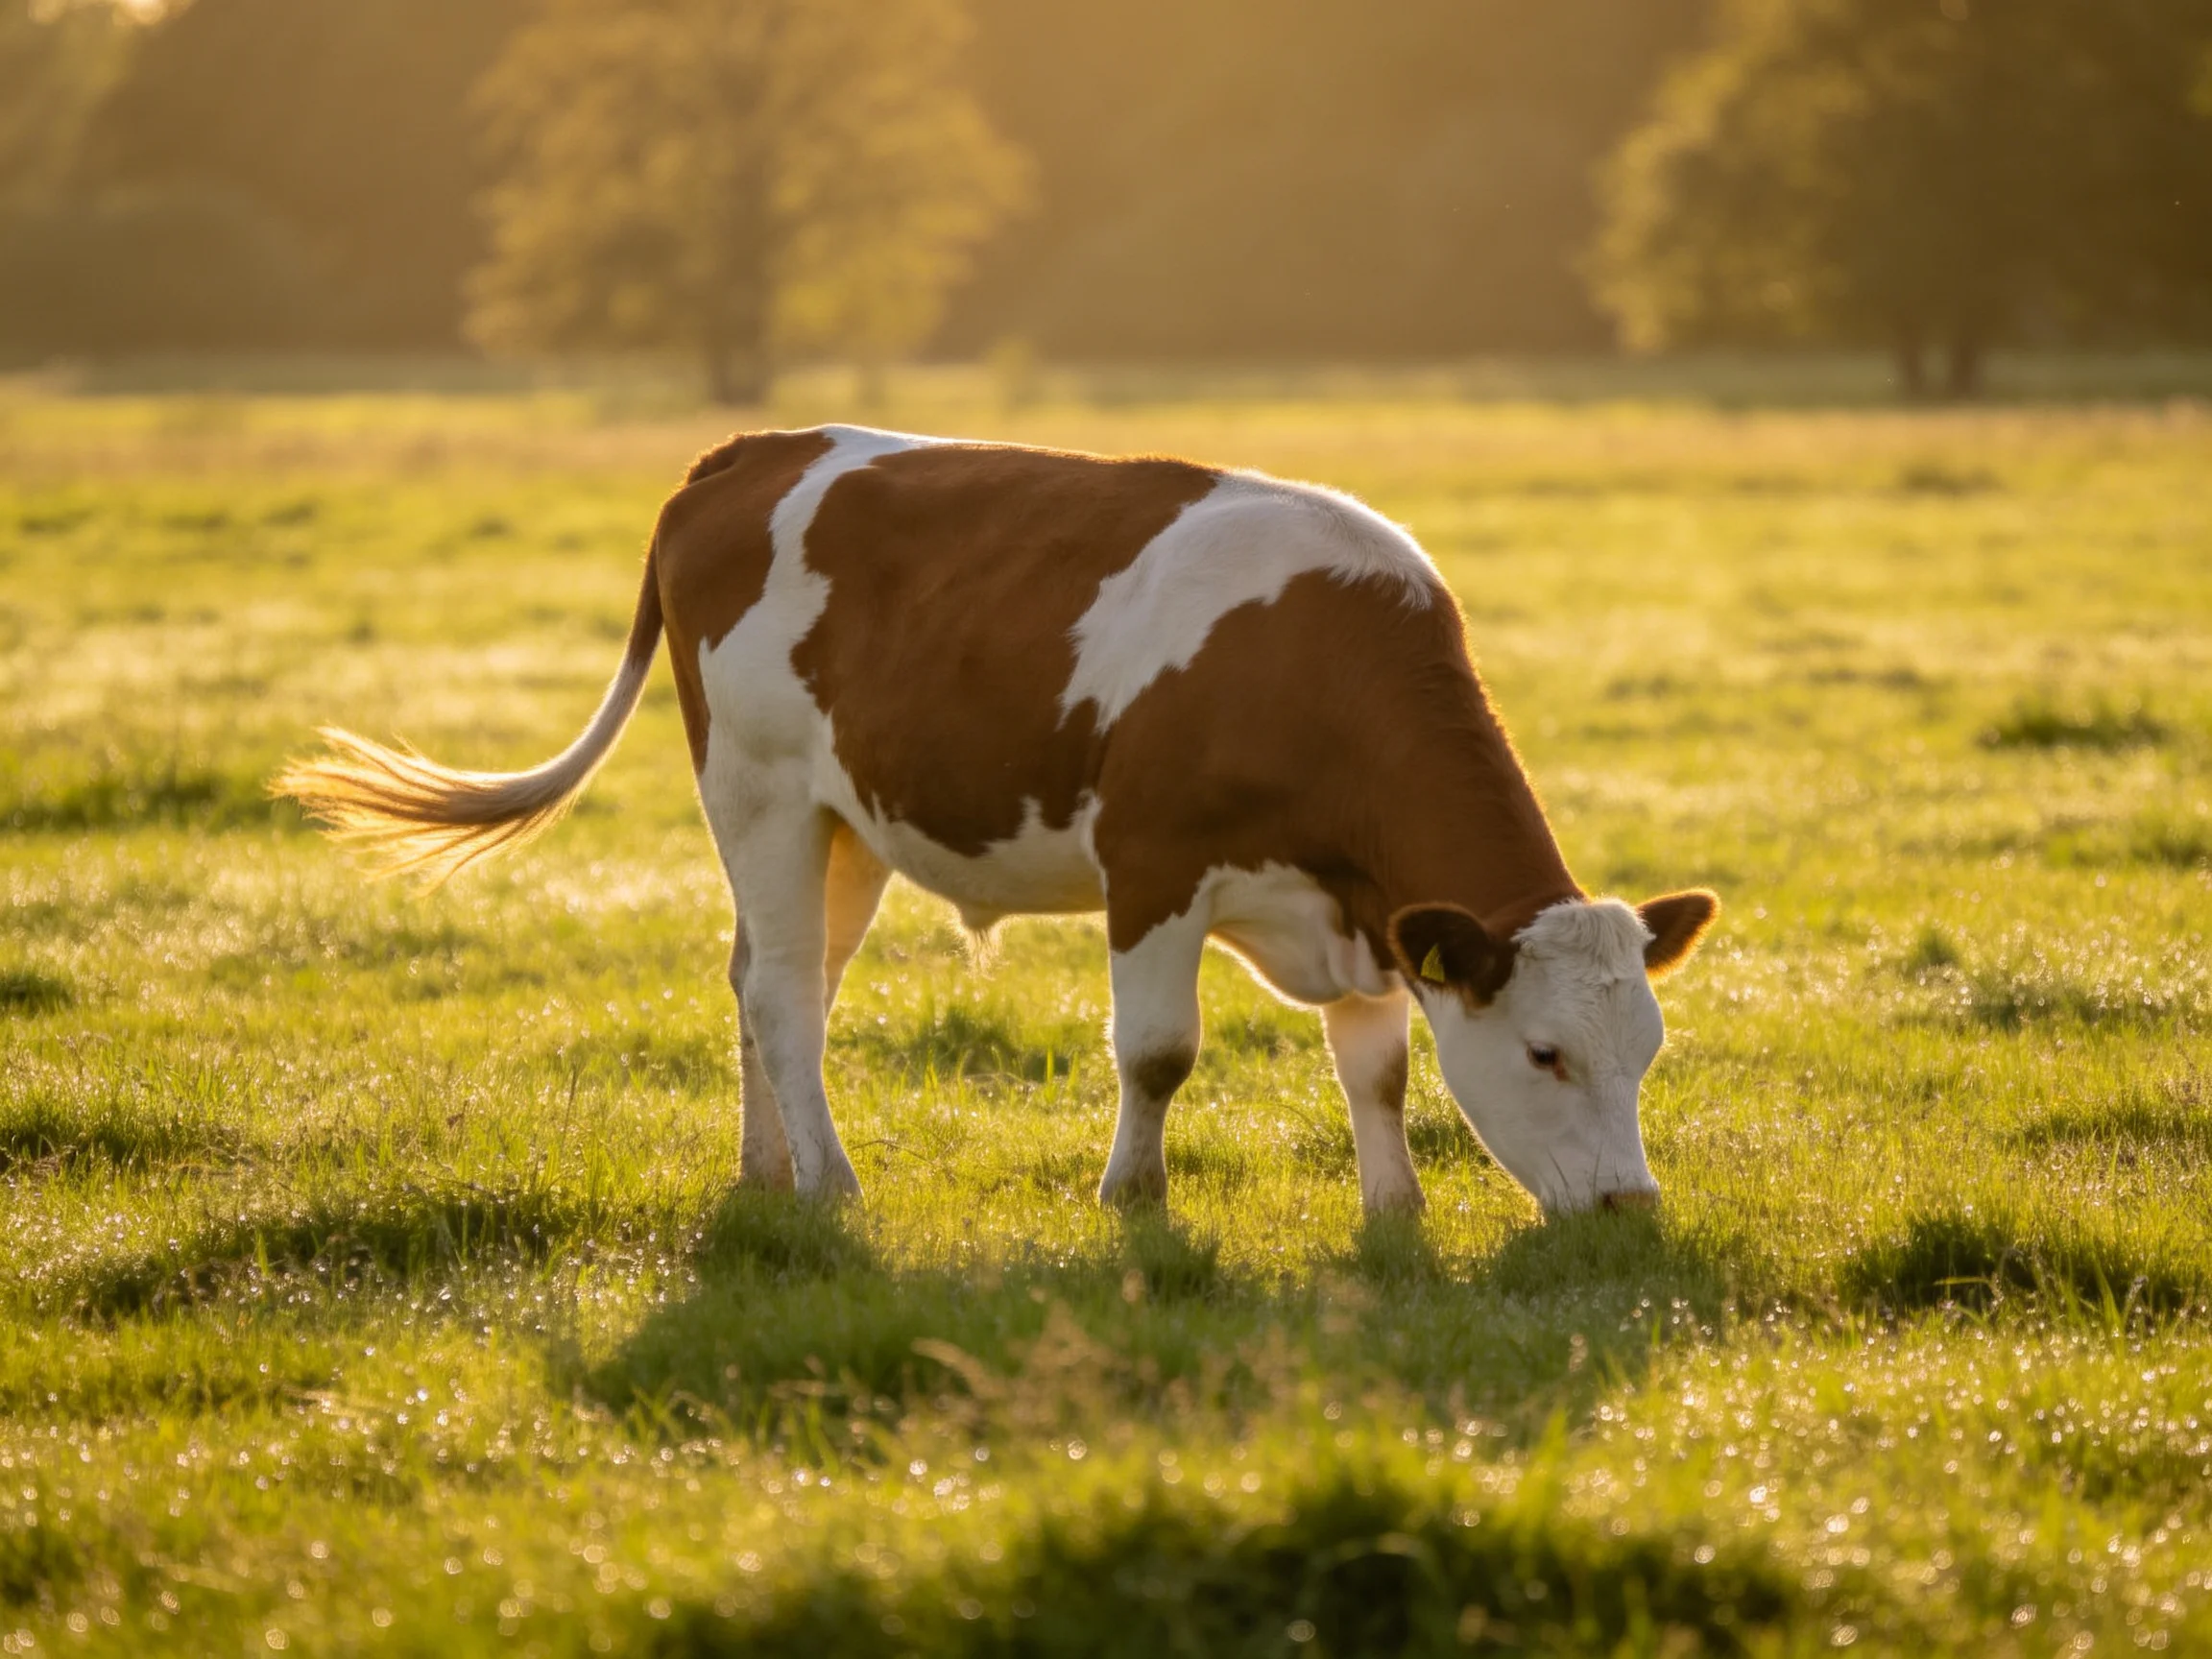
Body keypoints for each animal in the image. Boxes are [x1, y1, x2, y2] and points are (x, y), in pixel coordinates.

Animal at [276, 425, 1718, 1218]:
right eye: (1545, 1055)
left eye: (1647, 1052)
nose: (1630, 1207)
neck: (1315, 667)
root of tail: (743, 455)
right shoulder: (1151, 865)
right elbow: (1159, 1054)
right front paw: (1131, 1196)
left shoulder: (1367, 911)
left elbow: (1376, 1067)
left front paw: (1394, 1212)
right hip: (757, 789)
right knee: (785, 992)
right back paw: (835, 1186)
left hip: (844, 822)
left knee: (765, 984)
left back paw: (769, 1174)